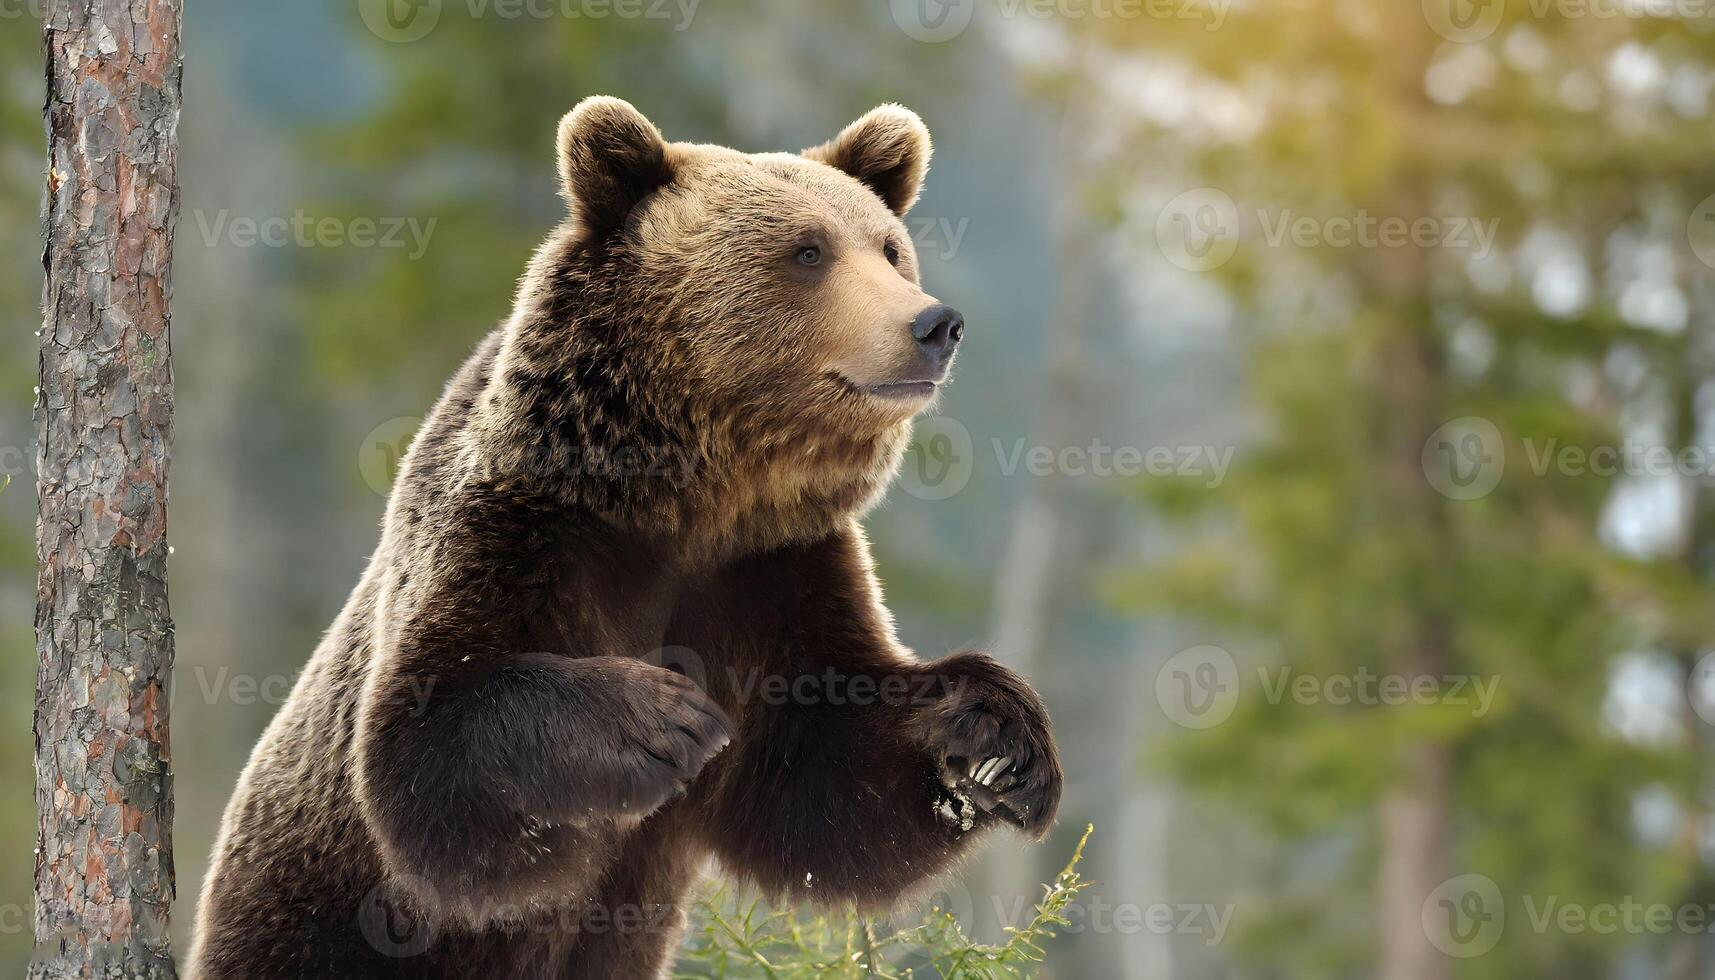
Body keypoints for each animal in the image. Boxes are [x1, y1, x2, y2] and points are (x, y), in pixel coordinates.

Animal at [194, 93, 1063, 980]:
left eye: (890, 248)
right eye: (807, 250)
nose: (934, 323)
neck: (691, 496)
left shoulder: (769, 570)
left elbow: (822, 772)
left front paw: (996, 739)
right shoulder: (523, 526)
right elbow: (426, 753)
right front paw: (661, 719)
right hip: (299, 925)